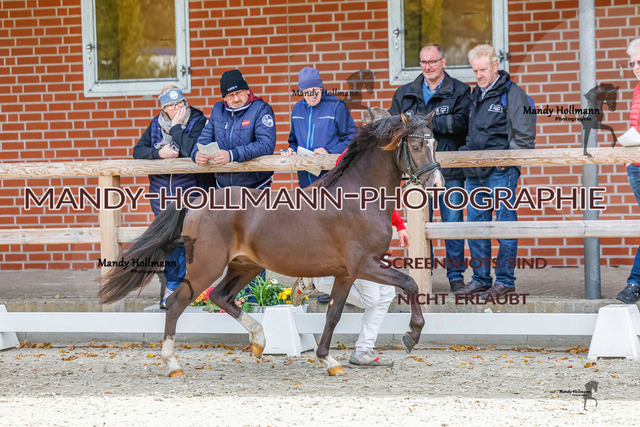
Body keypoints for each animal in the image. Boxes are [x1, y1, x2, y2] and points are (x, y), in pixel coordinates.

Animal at [98, 112, 443, 377]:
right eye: (415, 145)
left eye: (435, 143)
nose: (438, 184)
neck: (356, 197)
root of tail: (198, 200)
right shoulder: (364, 265)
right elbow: (410, 283)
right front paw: (411, 336)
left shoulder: (346, 273)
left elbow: (333, 314)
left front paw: (329, 361)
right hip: (206, 267)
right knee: (176, 303)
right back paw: (173, 364)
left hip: (246, 266)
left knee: (221, 297)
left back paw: (259, 341)